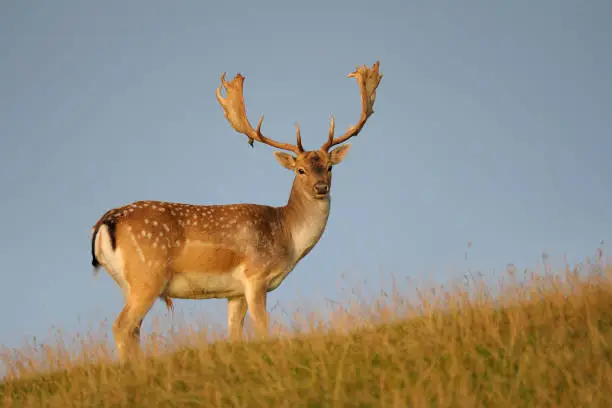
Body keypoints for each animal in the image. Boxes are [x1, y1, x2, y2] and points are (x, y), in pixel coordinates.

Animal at [89, 61, 382, 364]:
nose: (321, 187)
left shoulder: (235, 293)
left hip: (128, 283)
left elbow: (234, 335)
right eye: (300, 170)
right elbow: (263, 329)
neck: (287, 237)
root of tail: (105, 221)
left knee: (133, 329)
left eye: (329, 166)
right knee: (122, 326)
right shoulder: (255, 277)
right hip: (147, 276)